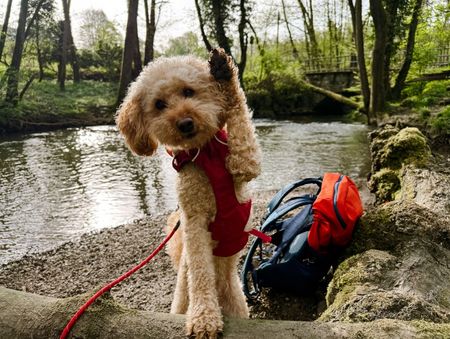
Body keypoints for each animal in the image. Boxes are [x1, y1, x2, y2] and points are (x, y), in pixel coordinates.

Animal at [117, 48, 260, 339]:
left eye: (188, 91)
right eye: (159, 104)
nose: (184, 123)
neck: (205, 153)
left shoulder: (245, 163)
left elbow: (238, 112)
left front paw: (223, 72)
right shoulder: (195, 220)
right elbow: (200, 270)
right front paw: (204, 317)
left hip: (239, 305)